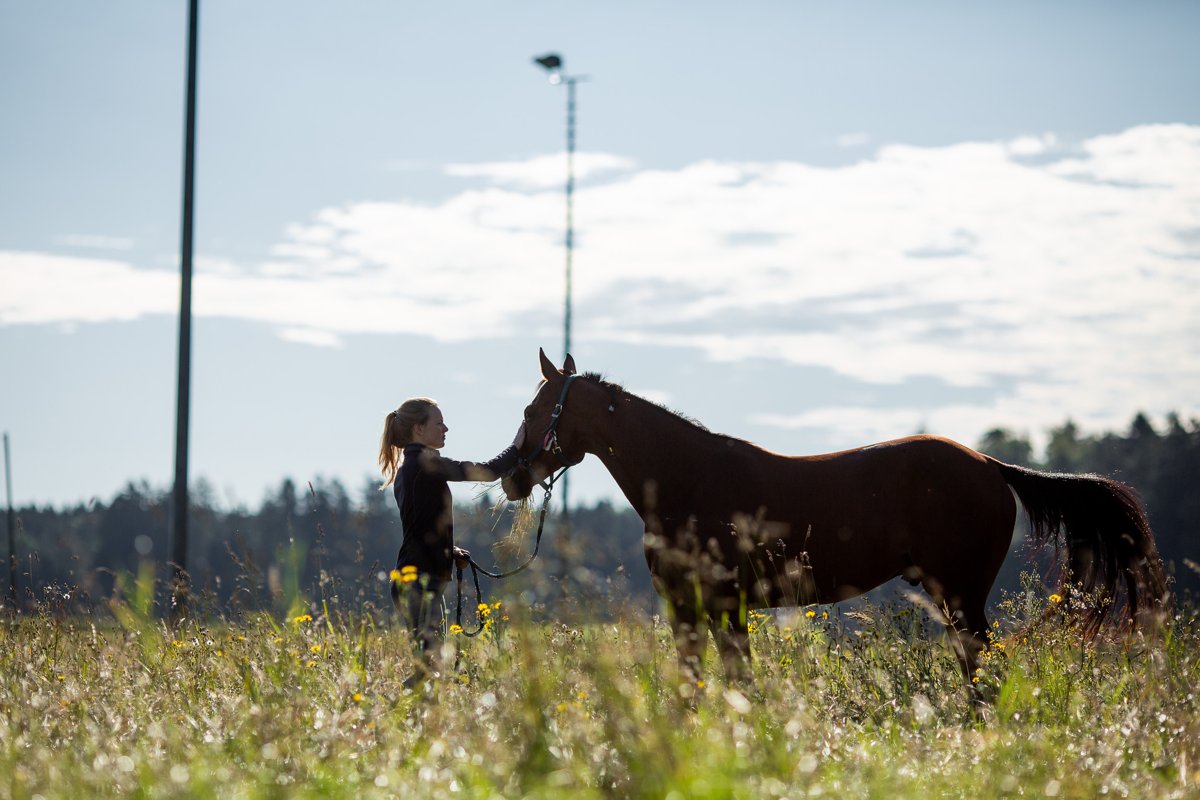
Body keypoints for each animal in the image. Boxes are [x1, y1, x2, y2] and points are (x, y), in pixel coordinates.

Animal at [506, 350, 1171, 695]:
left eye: (535, 410)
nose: (511, 475)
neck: (685, 480)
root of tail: (990, 465)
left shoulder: (716, 603)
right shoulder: (696, 608)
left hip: (962, 597)